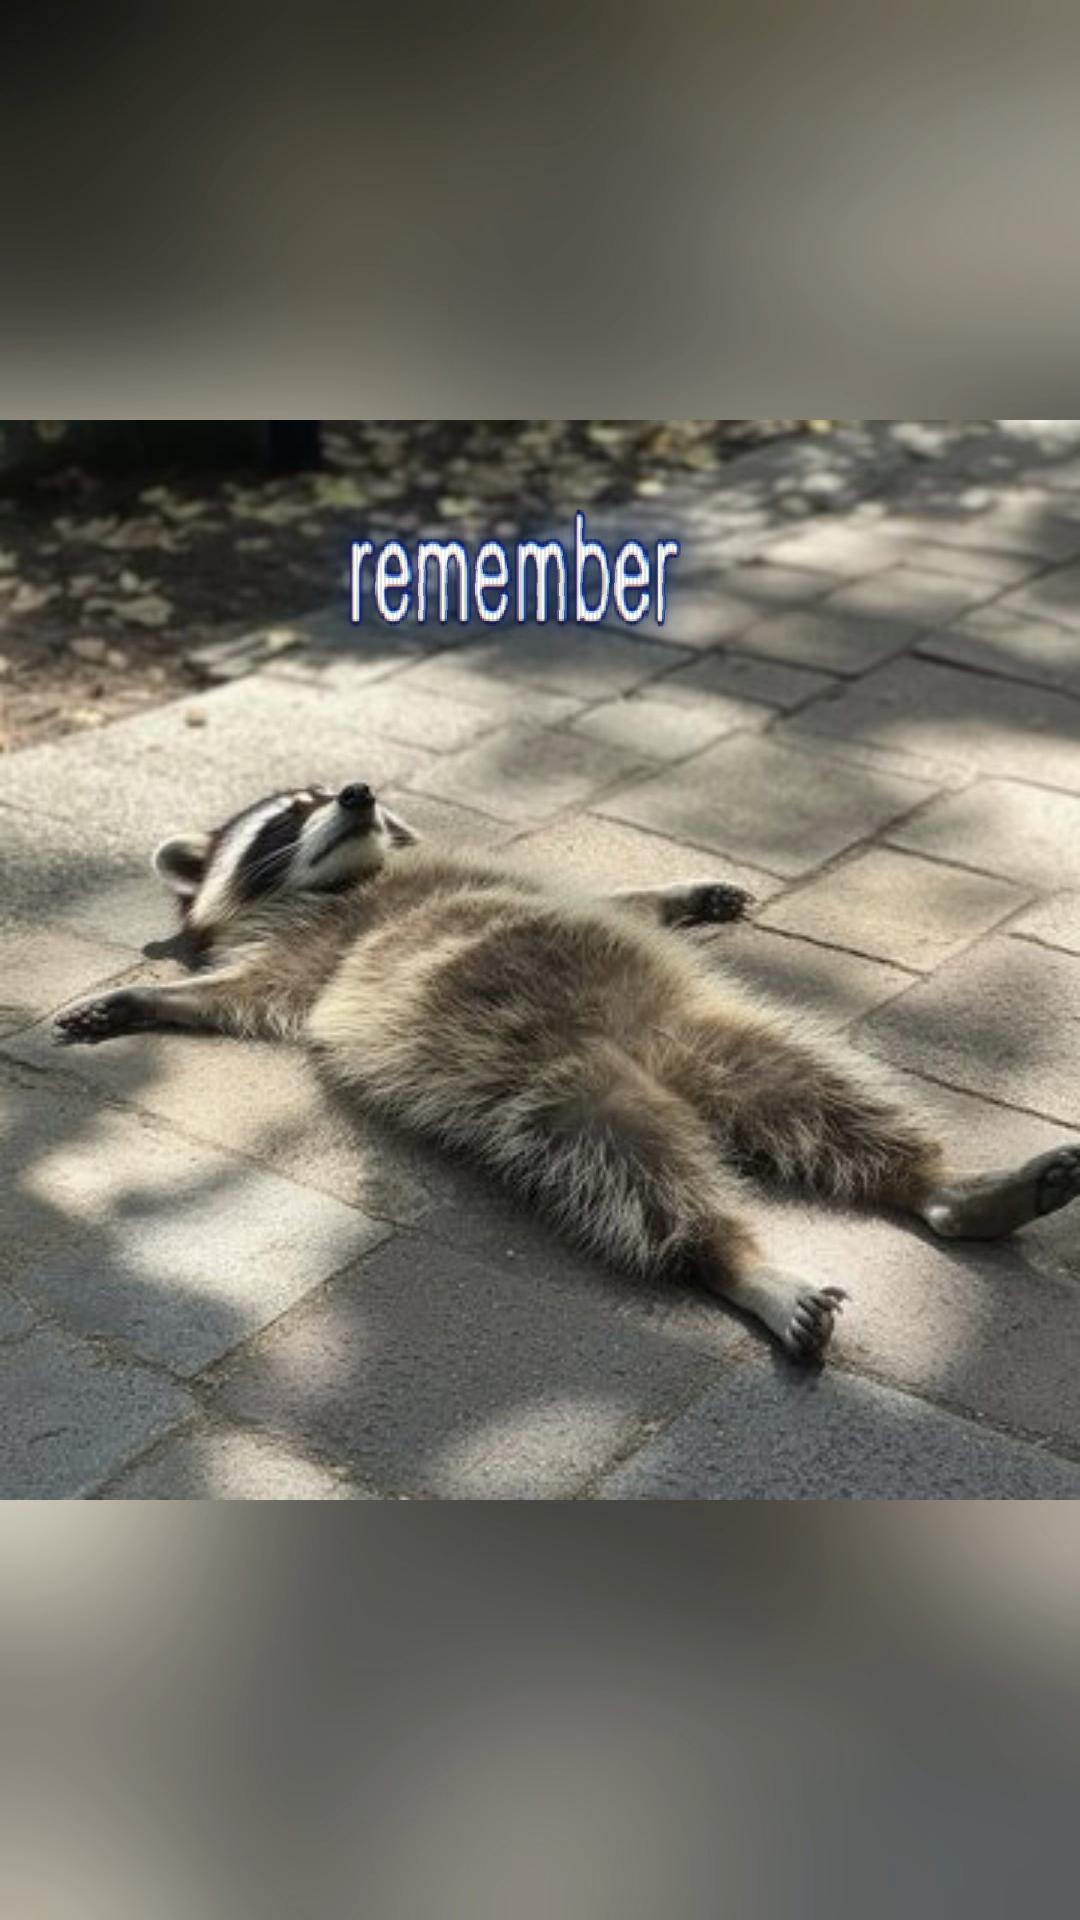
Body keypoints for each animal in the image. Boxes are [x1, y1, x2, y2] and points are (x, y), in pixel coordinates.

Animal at [55, 780, 1080, 1363]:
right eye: (290, 812)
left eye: (354, 800)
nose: (355, 791)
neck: (354, 884)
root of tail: (645, 1058)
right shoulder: (312, 953)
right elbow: (246, 993)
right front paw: (153, 998)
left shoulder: (492, 885)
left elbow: (603, 898)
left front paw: (679, 892)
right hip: (556, 1091)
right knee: (637, 1177)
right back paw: (738, 1261)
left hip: (702, 1031)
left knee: (816, 1089)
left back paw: (940, 1182)